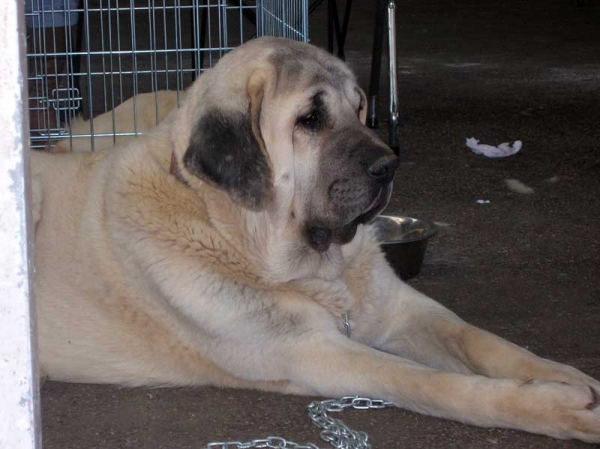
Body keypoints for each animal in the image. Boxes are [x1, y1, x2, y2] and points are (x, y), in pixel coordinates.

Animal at [30, 37, 600, 440]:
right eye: (310, 119)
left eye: (361, 108)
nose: (389, 166)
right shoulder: (317, 352)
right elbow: (438, 383)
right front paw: (554, 407)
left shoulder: (402, 309)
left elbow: (485, 342)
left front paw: (569, 378)